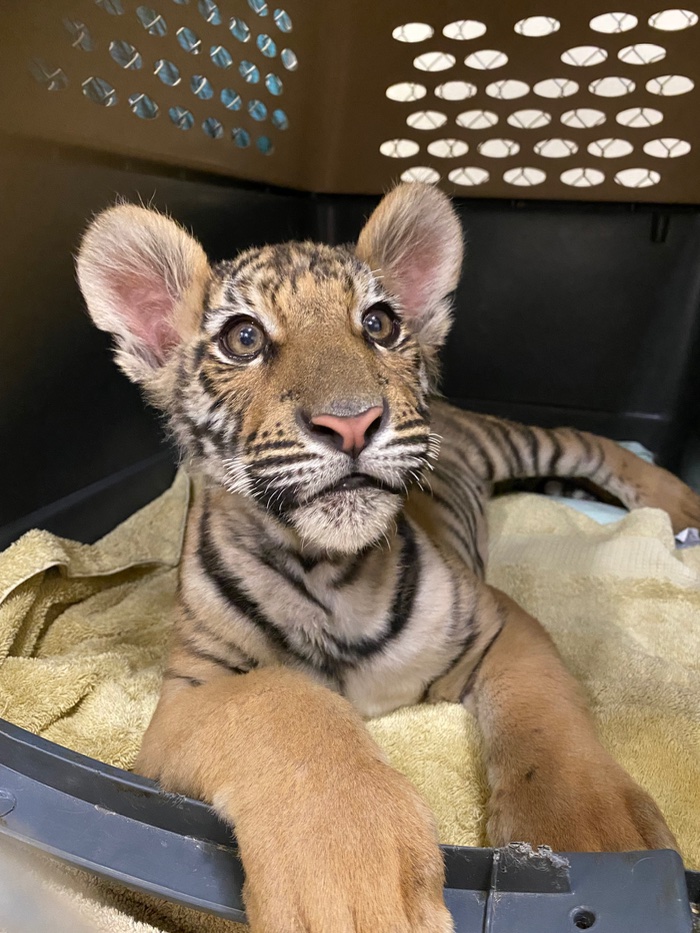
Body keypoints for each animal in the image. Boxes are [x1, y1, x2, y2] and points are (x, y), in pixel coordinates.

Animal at [76, 182, 700, 933]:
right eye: (243, 339)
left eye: (377, 324)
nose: (351, 422)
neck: (330, 572)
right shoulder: (190, 691)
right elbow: (282, 702)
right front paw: (351, 885)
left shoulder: (502, 621)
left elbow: (547, 725)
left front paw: (594, 842)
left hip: (523, 442)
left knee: (594, 444)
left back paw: (681, 506)